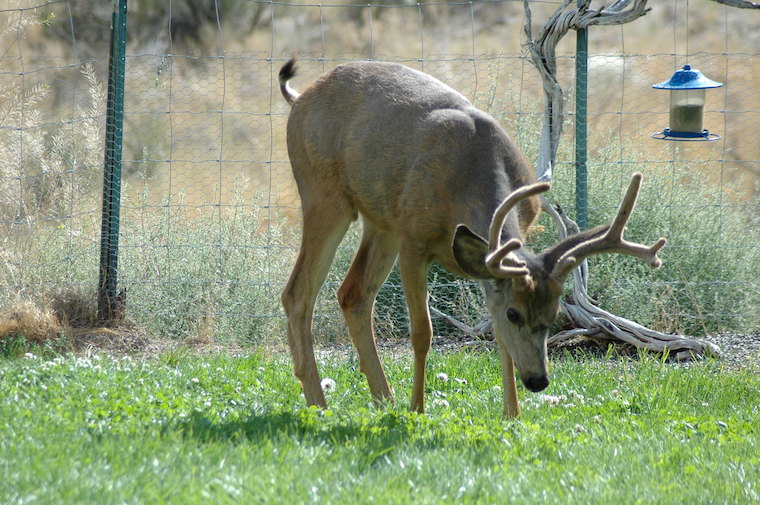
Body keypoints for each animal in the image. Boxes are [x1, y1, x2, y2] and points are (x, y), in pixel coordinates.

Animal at [279, 57, 666, 418]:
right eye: (515, 314)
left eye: (554, 313)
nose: (538, 381)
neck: (467, 178)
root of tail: (300, 97)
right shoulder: (414, 240)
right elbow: (423, 332)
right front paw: (417, 409)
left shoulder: (492, 258)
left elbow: (498, 338)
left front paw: (512, 414)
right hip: (324, 192)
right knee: (297, 292)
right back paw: (319, 404)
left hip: (381, 219)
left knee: (353, 294)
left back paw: (384, 400)